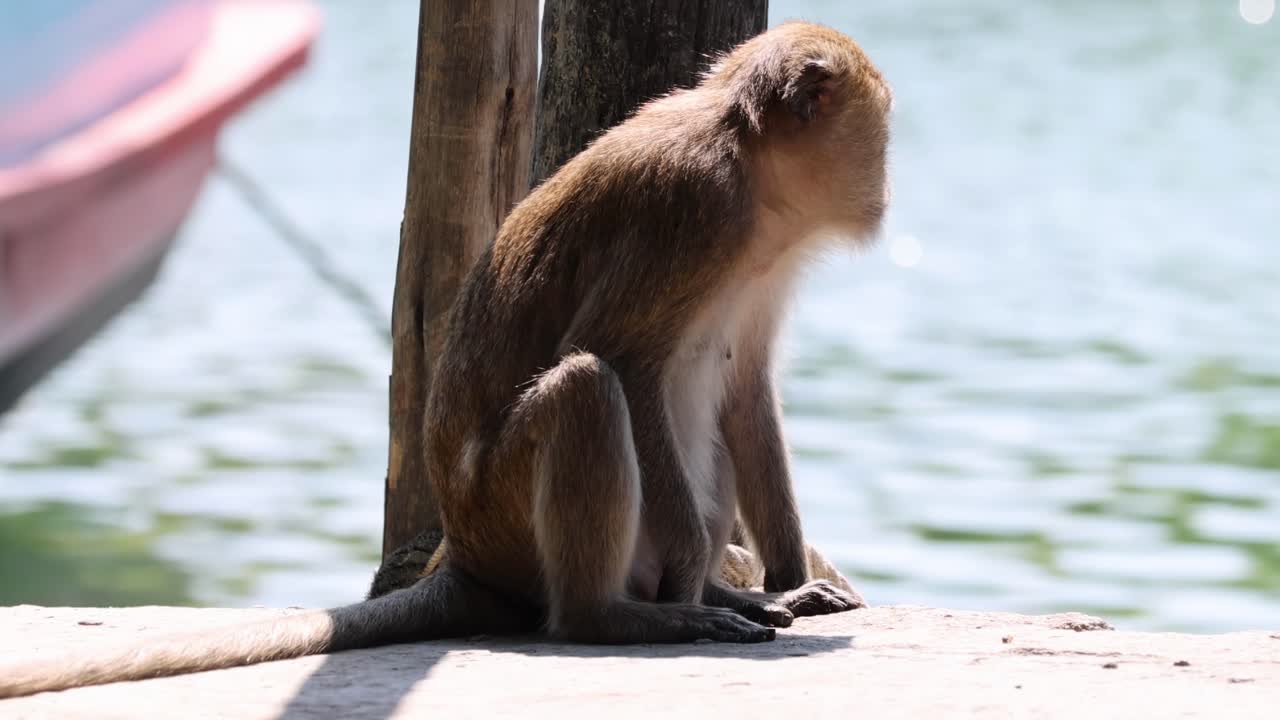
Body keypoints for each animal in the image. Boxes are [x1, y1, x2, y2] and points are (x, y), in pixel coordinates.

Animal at [0, 20, 891, 698]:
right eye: (880, 139)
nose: (885, 189)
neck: (749, 170)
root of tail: (461, 553)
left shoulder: (763, 255)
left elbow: (743, 390)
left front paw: (781, 579)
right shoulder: (696, 206)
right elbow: (623, 360)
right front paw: (696, 573)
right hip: (508, 518)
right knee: (586, 389)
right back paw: (618, 615)